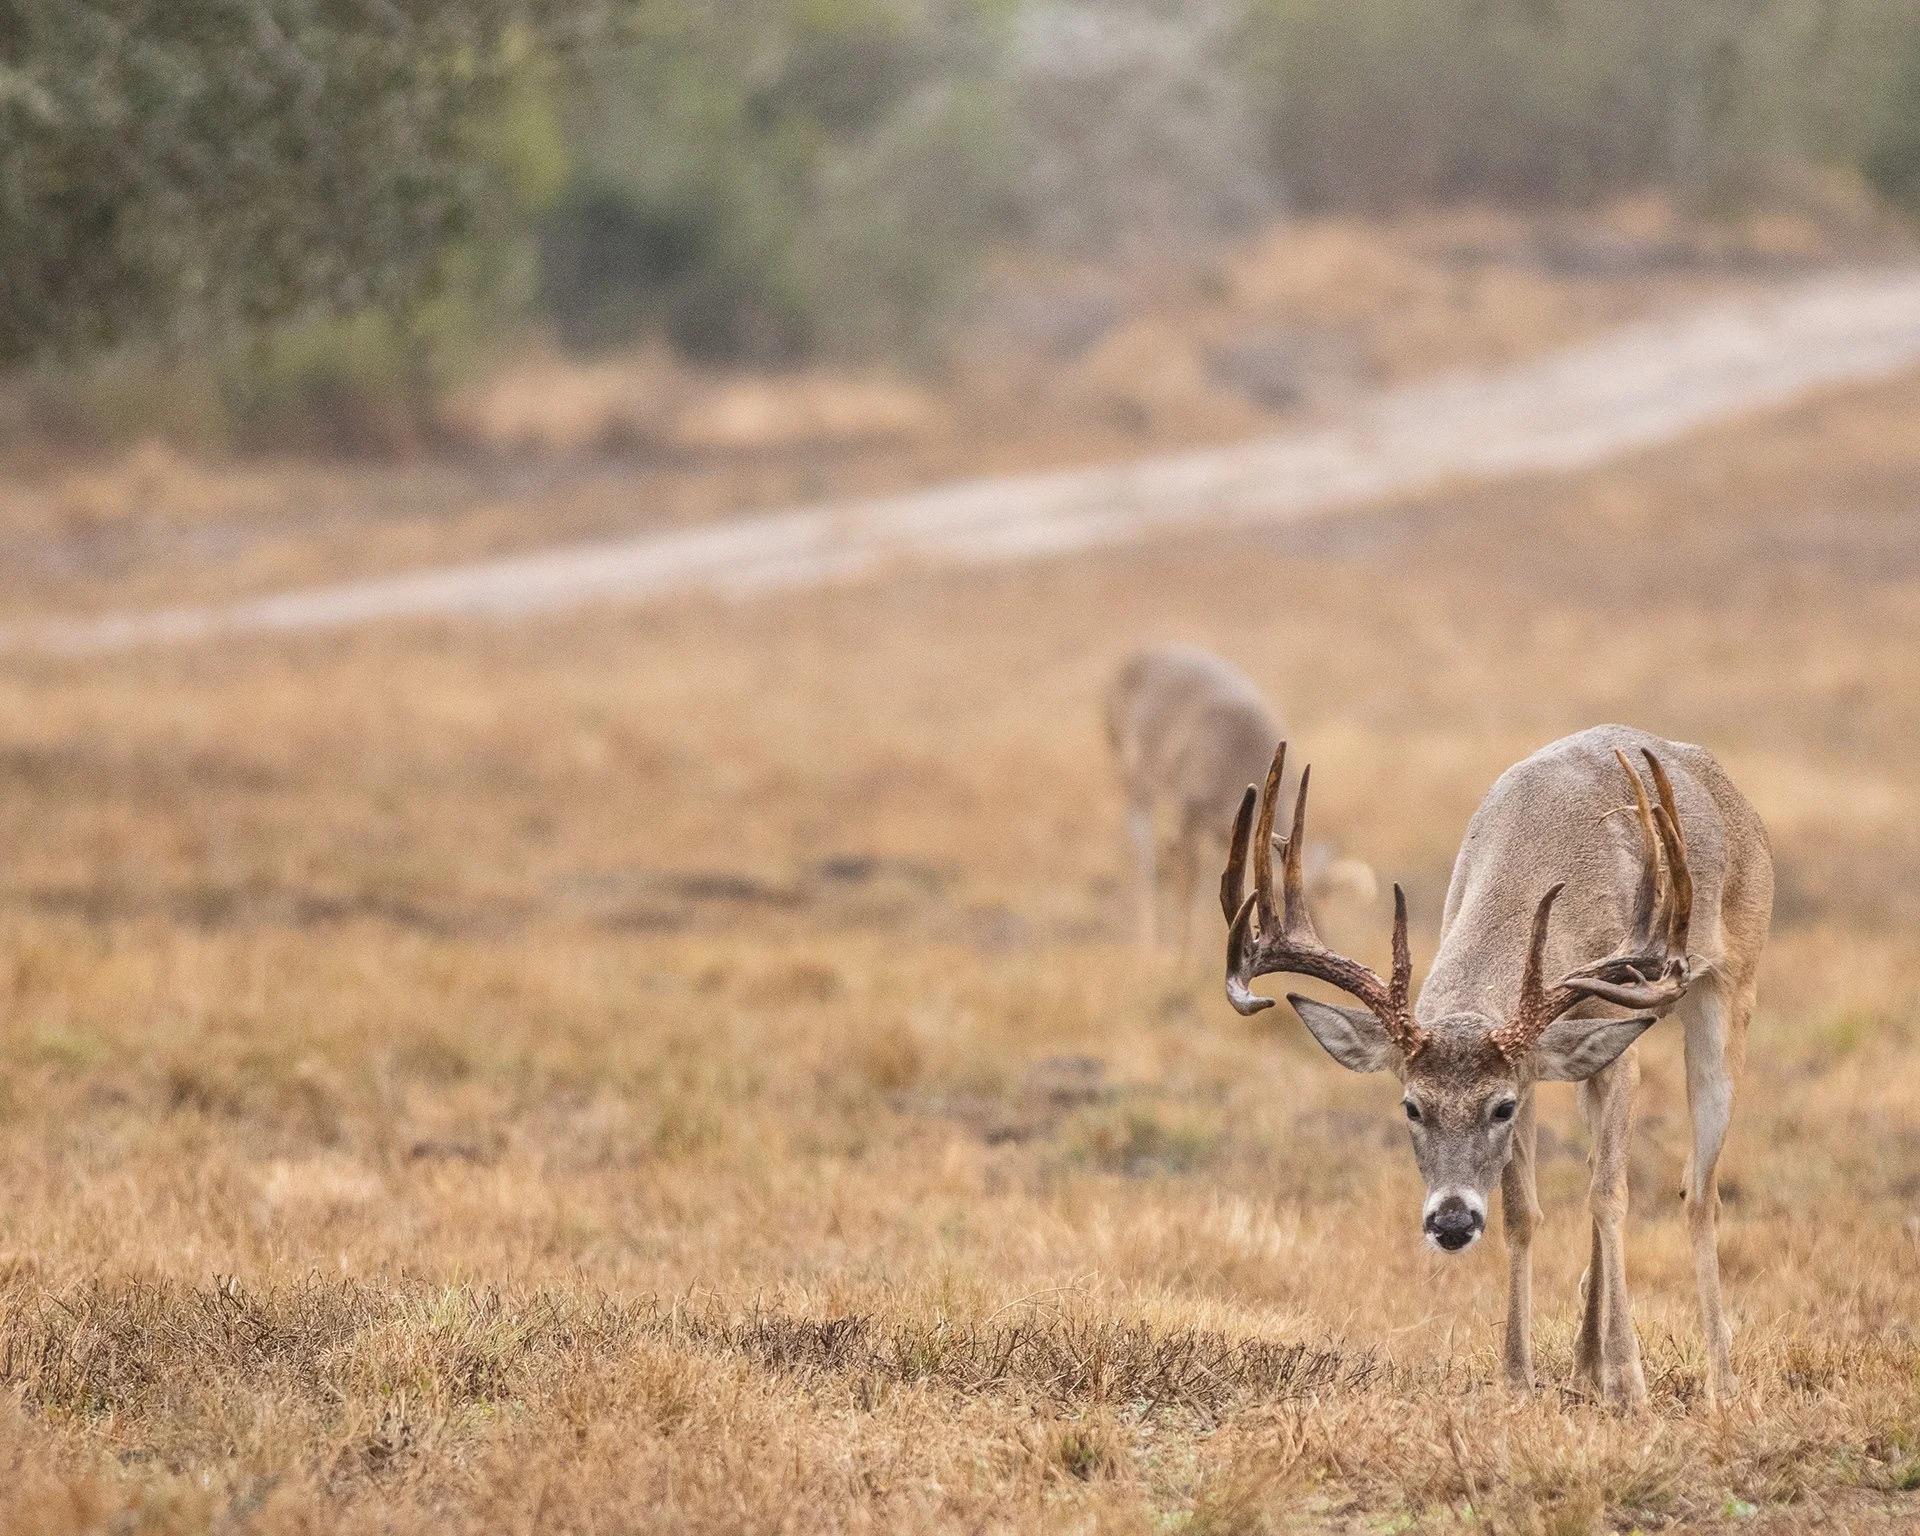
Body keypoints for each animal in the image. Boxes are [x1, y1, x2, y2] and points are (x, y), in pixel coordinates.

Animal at [1106, 645, 1375, 954]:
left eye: (1319, 910)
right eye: (1281, 909)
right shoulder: (1188, 805)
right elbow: (1188, 881)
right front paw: (1183, 952)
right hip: (1130, 770)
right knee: (1141, 846)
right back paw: (1148, 939)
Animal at [1220, 725, 1772, 1409]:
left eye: (1499, 1107)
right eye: (1412, 1106)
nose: (1452, 1221)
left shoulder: (1610, 1049)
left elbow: (1609, 1198)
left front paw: (1630, 1382)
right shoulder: (1537, 1068)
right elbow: (1522, 1212)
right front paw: (1518, 1375)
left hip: (1731, 985)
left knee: (1697, 1191)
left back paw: (1719, 1379)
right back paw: (1585, 1361)